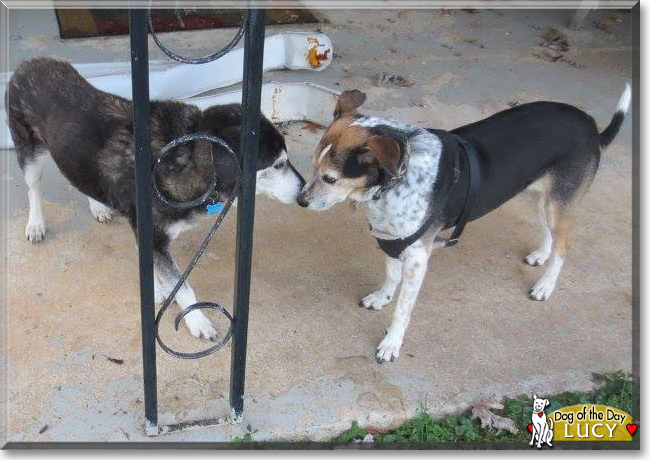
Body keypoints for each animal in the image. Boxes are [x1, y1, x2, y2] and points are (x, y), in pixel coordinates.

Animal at [5, 58, 306, 342]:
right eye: (278, 164)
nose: (304, 192)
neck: (187, 157)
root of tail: (30, 63)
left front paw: (158, 289)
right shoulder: (154, 235)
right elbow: (183, 287)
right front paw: (197, 320)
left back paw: (98, 206)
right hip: (30, 152)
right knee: (33, 188)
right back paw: (35, 224)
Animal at [298, 84, 628, 362]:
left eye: (330, 178)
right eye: (313, 167)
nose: (301, 200)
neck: (396, 179)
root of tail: (590, 125)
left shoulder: (417, 256)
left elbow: (403, 309)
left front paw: (391, 343)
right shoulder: (391, 238)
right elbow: (391, 276)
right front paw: (382, 297)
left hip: (559, 202)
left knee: (564, 243)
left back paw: (545, 285)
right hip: (538, 195)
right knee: (548, 229)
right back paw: (540, 256)